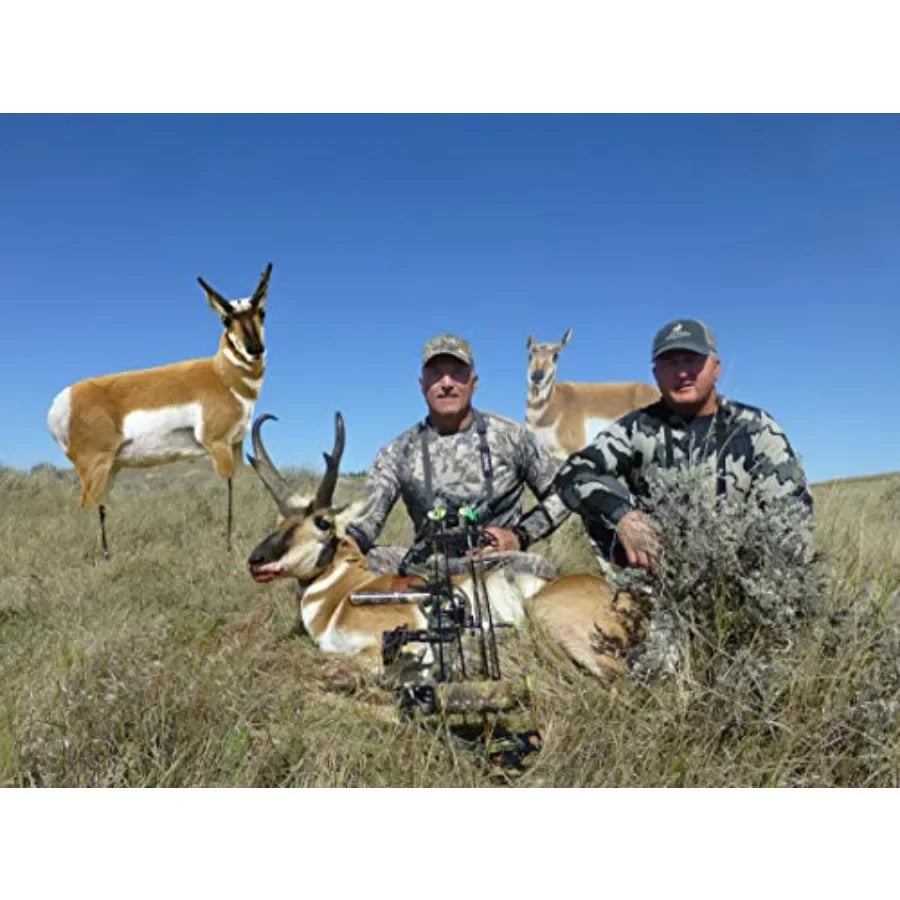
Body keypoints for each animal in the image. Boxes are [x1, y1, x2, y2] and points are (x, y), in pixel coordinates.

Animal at [47, 263, 273, 557]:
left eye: (262, 312)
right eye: (226, 319)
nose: (255, 349)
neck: (220, 375)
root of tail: (63, 400)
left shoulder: (236, 444)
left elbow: (243, 485)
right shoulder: (218, 444)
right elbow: (229, 488)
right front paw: (228, 547)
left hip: (111, 468)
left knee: (99, 505)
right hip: (96, 466)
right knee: (86, 505)